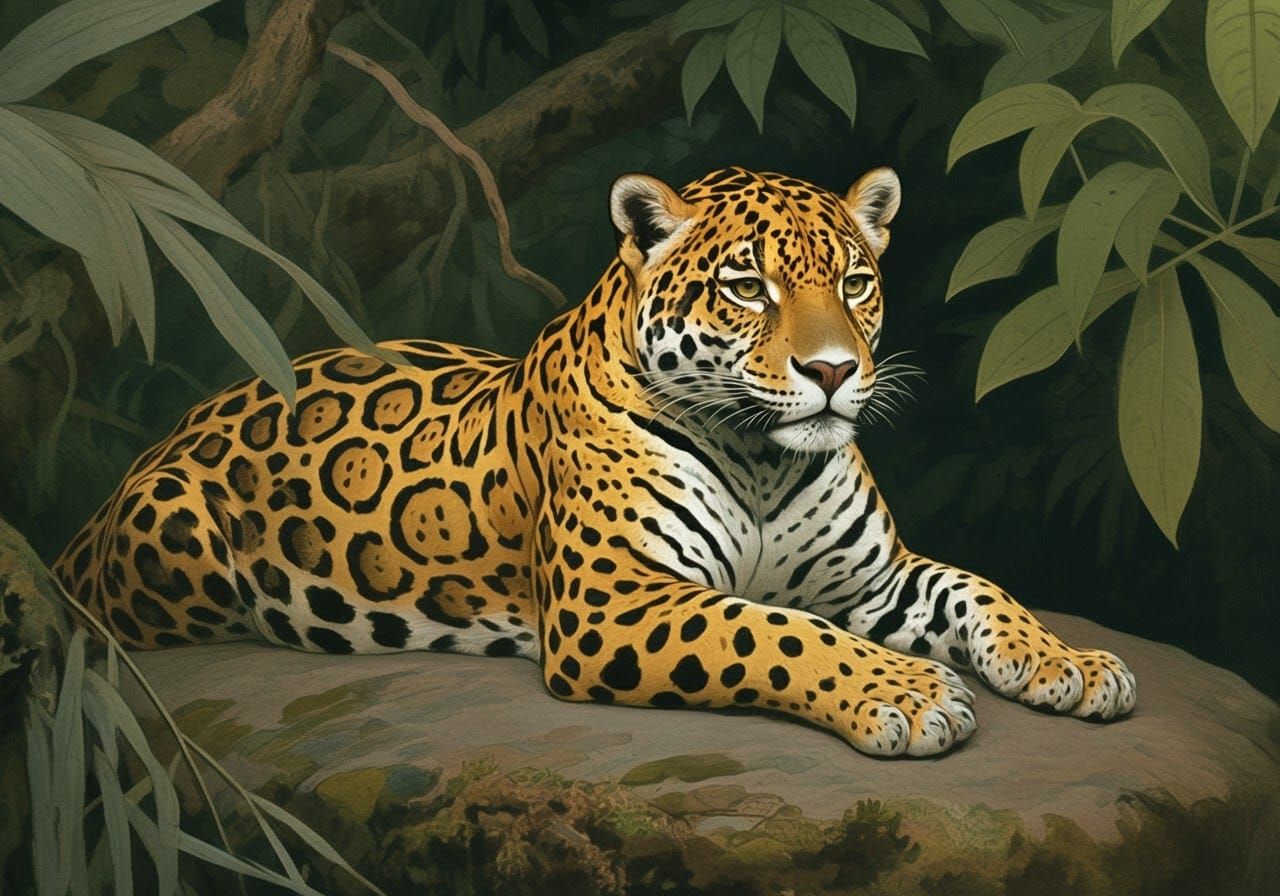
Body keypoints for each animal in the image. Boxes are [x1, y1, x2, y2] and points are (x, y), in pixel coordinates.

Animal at [54, 166, 1136, 757]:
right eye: (747, 286)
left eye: (855, 282)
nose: (833, 371)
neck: (763, 459)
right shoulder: (612, 598)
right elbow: (776, 631)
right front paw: (904, 694)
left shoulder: (869, 580)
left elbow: (976, 586)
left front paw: (1071, 663)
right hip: (170, 542)